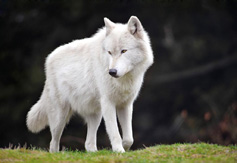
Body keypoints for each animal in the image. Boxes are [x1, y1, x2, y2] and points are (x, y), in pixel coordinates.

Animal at [26, 15, 154, 152]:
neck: (123, 80)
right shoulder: (108, 103)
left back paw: (94, 152)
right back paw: (56, 154)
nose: (112, 72)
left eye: (124, 51)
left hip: (96, 114)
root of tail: (49, 58)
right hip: (60, 117)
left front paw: (124, 148)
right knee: (53, 143)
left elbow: (129, 138)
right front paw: (119, 151)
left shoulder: (126, 104)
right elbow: (115, 132)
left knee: (88, 143)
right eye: (109, 52)